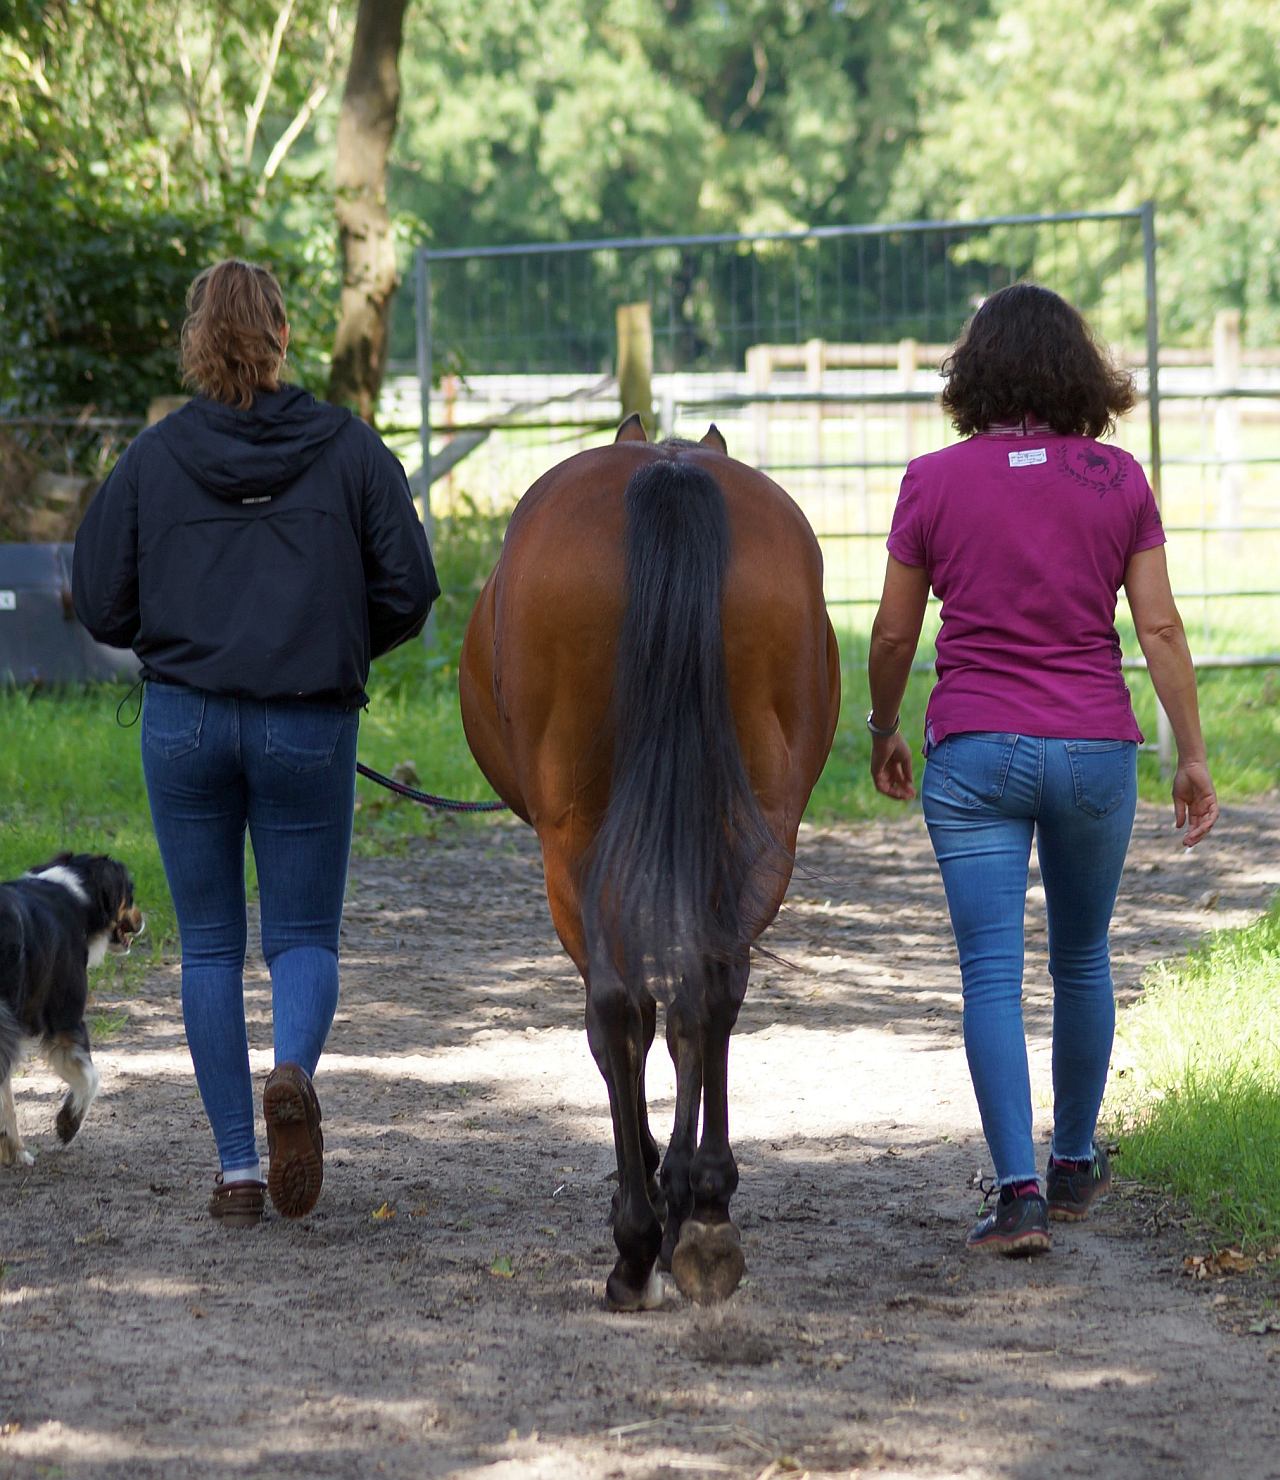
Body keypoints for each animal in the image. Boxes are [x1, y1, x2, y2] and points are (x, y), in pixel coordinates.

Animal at [458, 414, 840, 1308]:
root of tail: (668, 472)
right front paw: (686, 1194)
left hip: (574, 845)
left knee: (619, 1010)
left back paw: (637, 1245)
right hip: (760, 825)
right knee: (712, 993)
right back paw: (703, 1211)